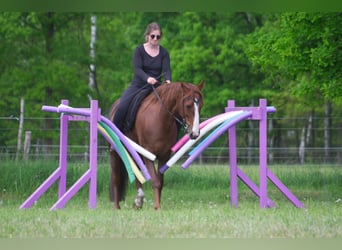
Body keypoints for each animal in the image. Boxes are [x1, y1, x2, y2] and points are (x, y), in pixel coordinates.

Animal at [109, 81, 203, 210]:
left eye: (200, 105)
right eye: (188, 105)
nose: (195, 133)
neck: (160, 119)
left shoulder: (164, 155)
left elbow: (160, 181)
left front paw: (157, 205)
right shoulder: (148, 154)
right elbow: (155, 181)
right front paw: (157, 207)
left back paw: (138, 201)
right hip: (115, 153)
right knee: (116, 178)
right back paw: (116, 206)